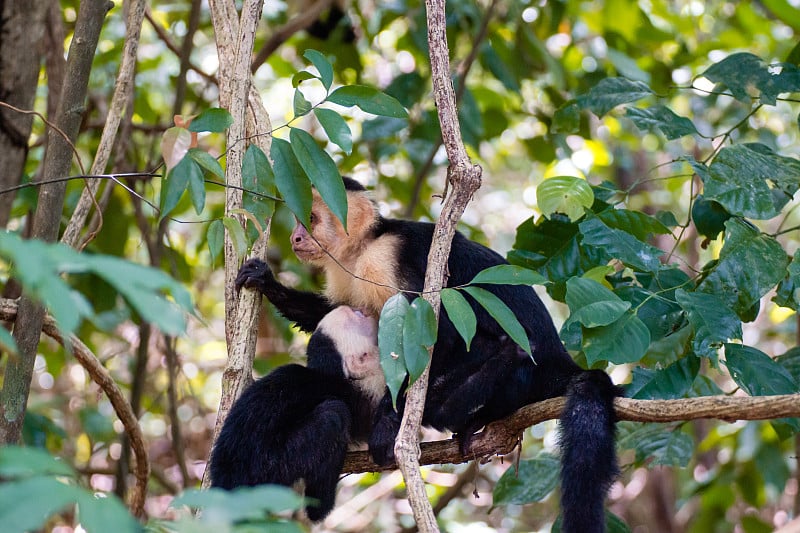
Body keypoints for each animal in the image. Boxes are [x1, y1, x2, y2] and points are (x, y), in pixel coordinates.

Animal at [209, 304, 384, 520]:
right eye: (358, 315)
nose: (362, 309)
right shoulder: (365, 393)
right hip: (271, 468)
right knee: (334, 414)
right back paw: (321, 504)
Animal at [234, 178, 620, 532]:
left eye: (310, 220)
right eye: (298, 221)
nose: (295, 238)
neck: (363, 246)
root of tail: (560, 362)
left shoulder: (386, 260)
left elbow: (439, 334)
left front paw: (388, 424)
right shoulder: (345, 272)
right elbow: (331, 314)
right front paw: (266, 282)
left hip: (525, 374)